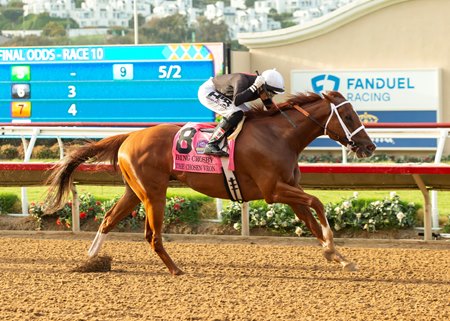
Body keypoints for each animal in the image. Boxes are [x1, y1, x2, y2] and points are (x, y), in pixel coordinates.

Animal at [44, 91, 376, 274]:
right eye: (348, 115)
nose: (369, 146)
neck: (280, 137)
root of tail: (130, 136)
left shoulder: (290, 193)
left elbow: (312, 221)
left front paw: (340, 258)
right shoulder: (274, 191)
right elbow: (318, 202)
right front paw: (333, 249)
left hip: (135, 191)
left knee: (108, 219)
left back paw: (90, 260)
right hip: (154, 193)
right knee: (152, 236)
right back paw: (176, 269)